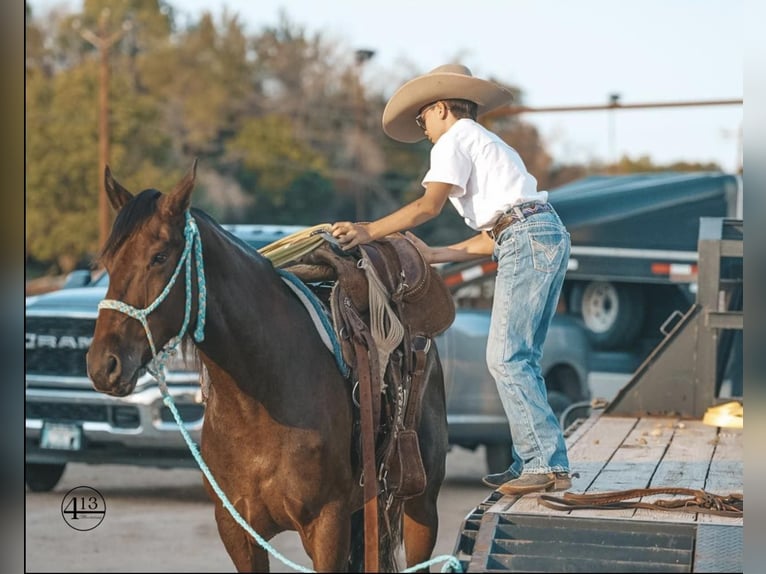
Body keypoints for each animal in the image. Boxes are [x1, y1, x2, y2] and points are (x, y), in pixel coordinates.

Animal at [88, 160, 452, 572]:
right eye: (108, 262)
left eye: (159, 256)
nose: (104, 364)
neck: (262, 395)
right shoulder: (237, 530)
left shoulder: (327, 525)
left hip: (420, 504)